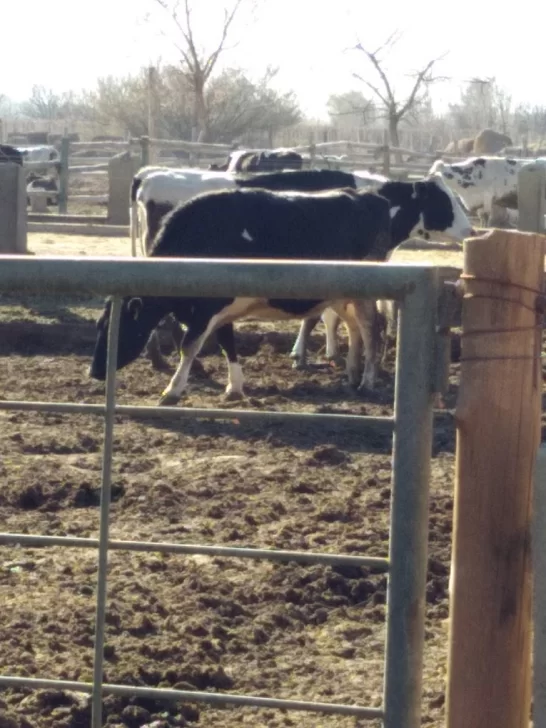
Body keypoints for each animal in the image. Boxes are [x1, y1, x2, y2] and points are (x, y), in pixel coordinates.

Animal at [91, 185, 394, 404]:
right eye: (99, 325)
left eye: (120, 327)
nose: (94, 371)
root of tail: (369, 197)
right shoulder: (219, 311)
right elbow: (228, 344)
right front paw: (235, 387)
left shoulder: (207, 310)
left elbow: (189, 347)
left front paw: (172, 390)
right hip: (342, 295)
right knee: (355, 327)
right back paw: (352, 375)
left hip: (365, 293)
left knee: (371, 329)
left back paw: (367, 382)